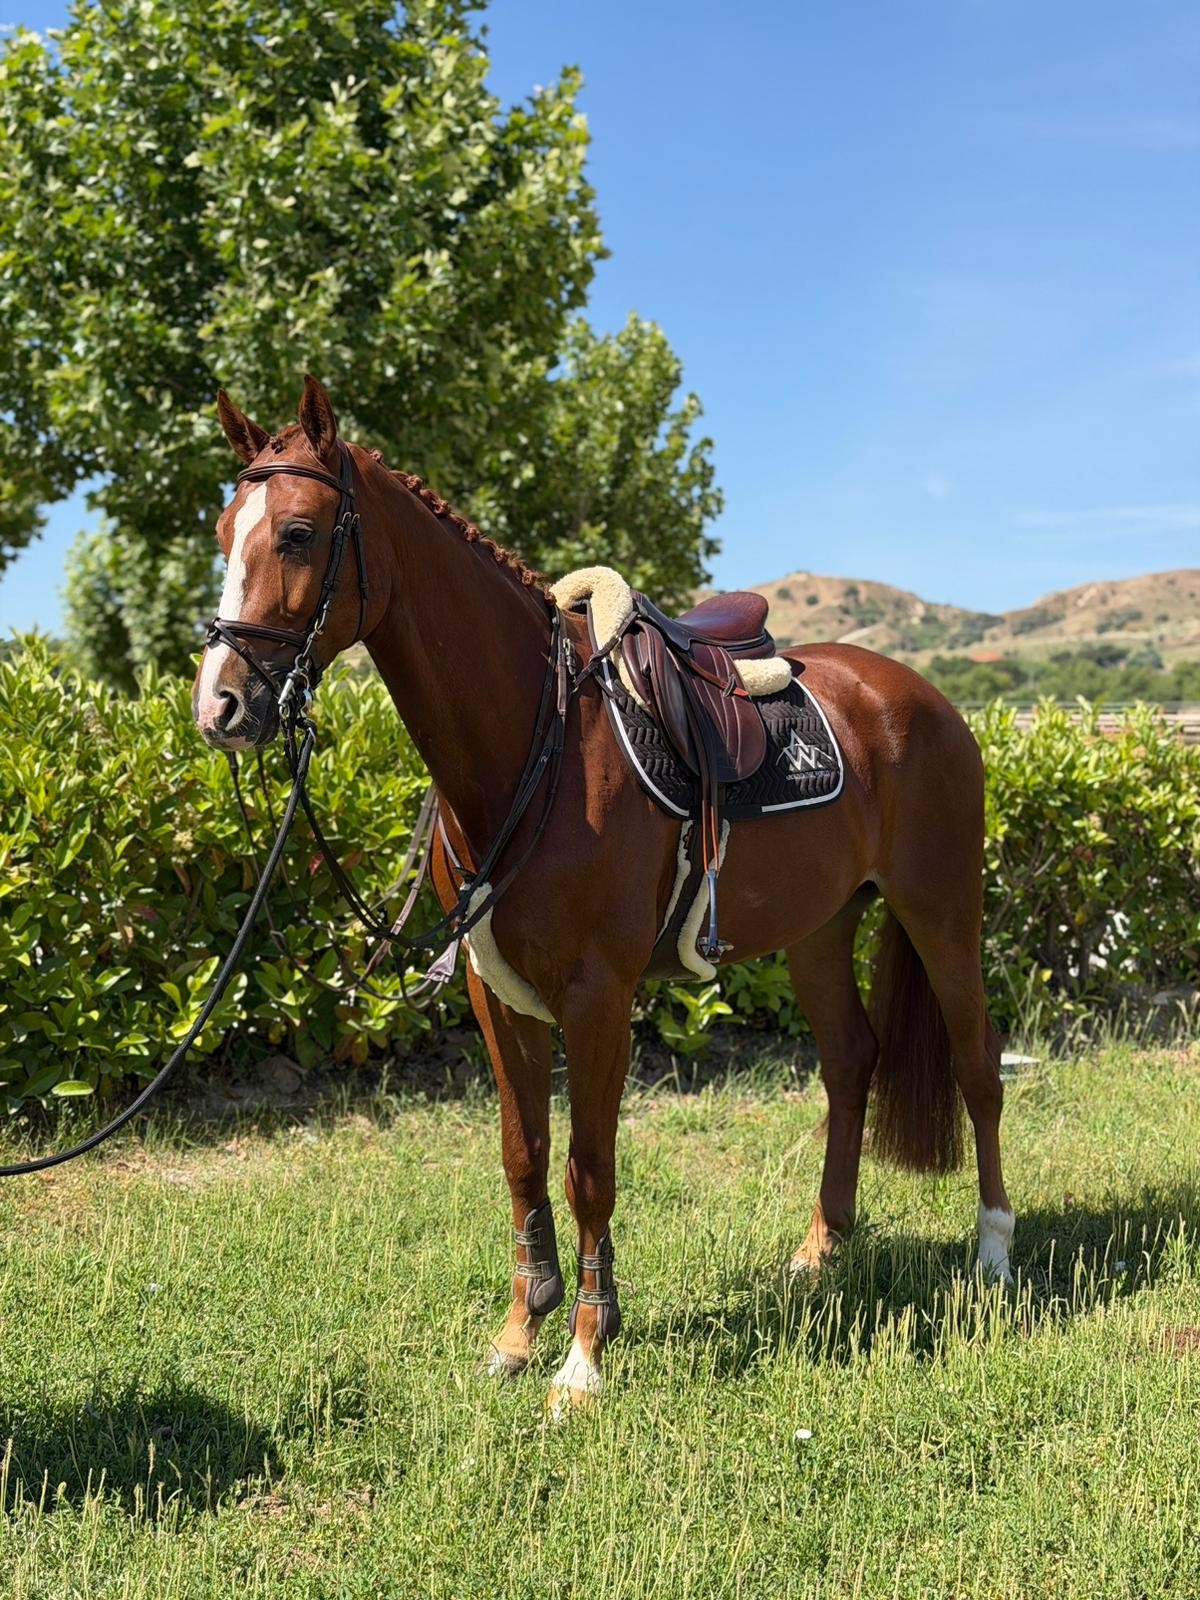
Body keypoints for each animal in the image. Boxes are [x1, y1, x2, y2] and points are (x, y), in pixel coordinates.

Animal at [194, 375, 1013, 1411]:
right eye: (226, 532)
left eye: (298, 533)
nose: (219, 705)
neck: (536, 742)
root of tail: (924, 699)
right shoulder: (496, 994)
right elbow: (525, 1156)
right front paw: (522, 1328)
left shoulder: (596, 996)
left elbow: (589, 1168)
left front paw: (583, 1354)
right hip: (821, 928)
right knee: (850, 1062)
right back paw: (821, 1246)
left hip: (942, 912)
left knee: (978, 1067)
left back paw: (994, 1251)